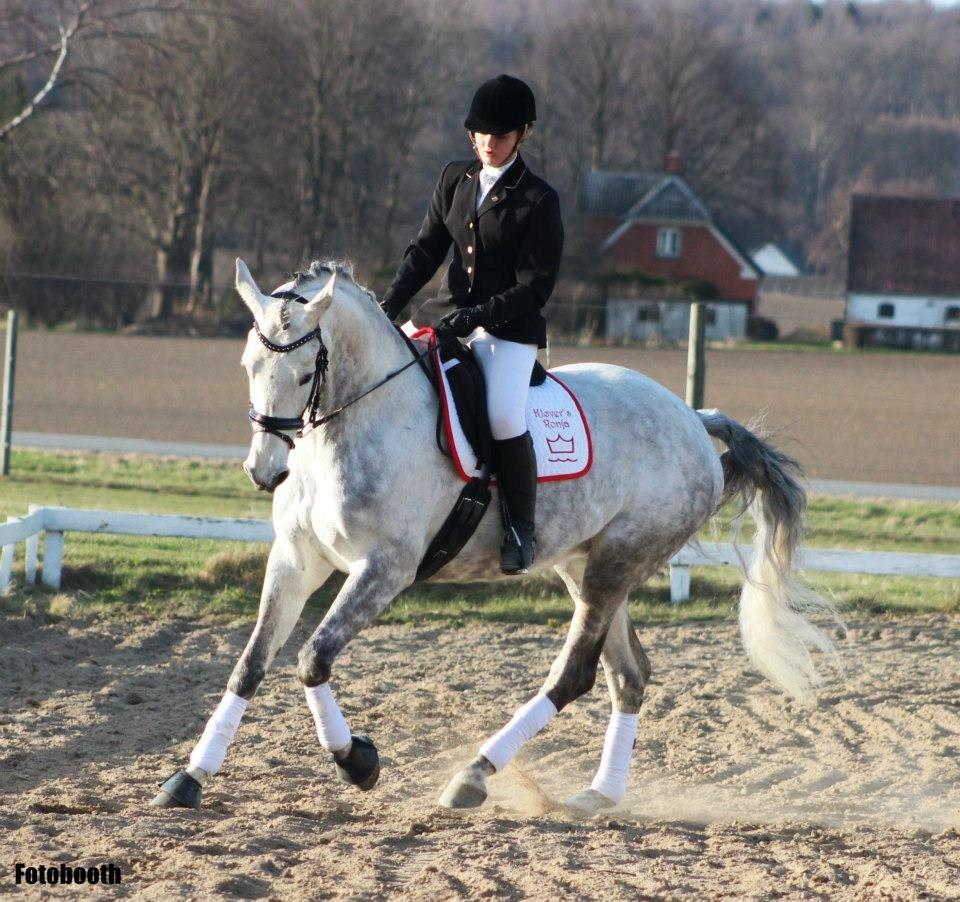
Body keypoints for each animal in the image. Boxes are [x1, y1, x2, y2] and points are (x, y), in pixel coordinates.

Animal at [146, 260, 836, 820]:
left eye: (298, 373)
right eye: (249, 366)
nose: (265, 472)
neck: (352, 423)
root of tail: (692, 418)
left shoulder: (384, 569)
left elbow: (313, 657)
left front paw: (358, 761)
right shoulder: (295, 561)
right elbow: (251, 663)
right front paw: (189, 778)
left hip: (618, 561)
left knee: (575, 675)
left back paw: (473, 778)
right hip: (586, 565)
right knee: (629, 675)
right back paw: (597, 796)